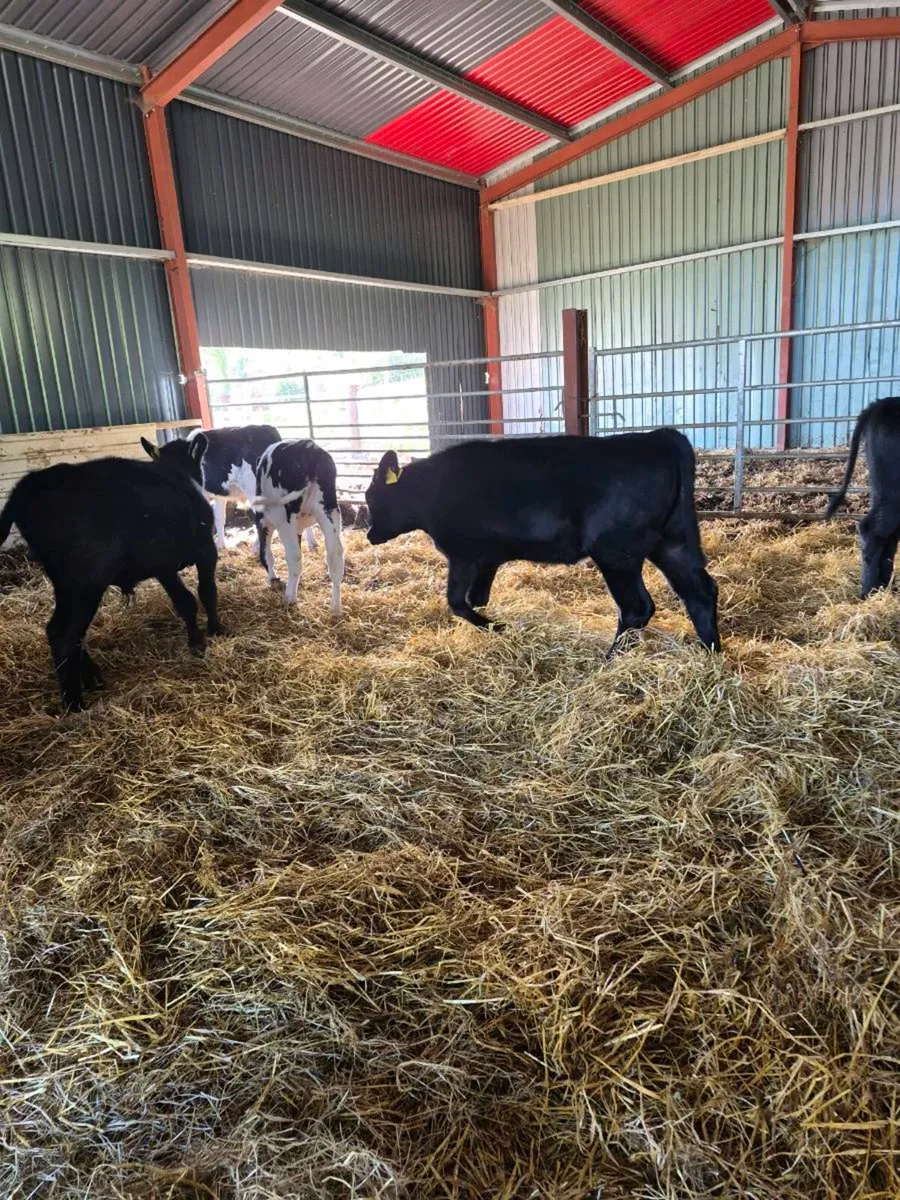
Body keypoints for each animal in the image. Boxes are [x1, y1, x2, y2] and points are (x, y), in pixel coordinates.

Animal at [0, 434, 223, 711]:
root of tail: (28, 485)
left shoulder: (163, 566)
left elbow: (186, 602)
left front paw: (196, 643)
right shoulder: (206, 550)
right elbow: (207, 592)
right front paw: (216, 629)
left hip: (66, 585)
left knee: (66, 632)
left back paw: (92, 678)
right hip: (85, 584)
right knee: (63, 634)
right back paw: (74, 704)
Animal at [251, 439, 344, 614]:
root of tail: (308, 447)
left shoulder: (263, 522)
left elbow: (266, 554)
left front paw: (274, 579)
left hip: (284, 517)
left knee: (294, 556)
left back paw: (290, 598)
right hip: (329, 510)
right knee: (335, 556)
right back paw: (335, 608)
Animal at [365, 432, 720, 651]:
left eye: (373, 497)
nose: (369, 535)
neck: (429, 491)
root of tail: (659, 436)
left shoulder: (463, 554)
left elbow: (457, 602)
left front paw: (498, 628)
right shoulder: (487, 558)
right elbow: (477, 598)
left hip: (615, 551)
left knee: (637, 608)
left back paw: (610, 661)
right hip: (672, 542)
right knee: (700, 593)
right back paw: (709, 652)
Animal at [826, 396, 900, 597]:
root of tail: (881, 404)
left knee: (888, 538)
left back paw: (886, 588)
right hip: (892, 489)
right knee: (872, 530)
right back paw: (869, 591)